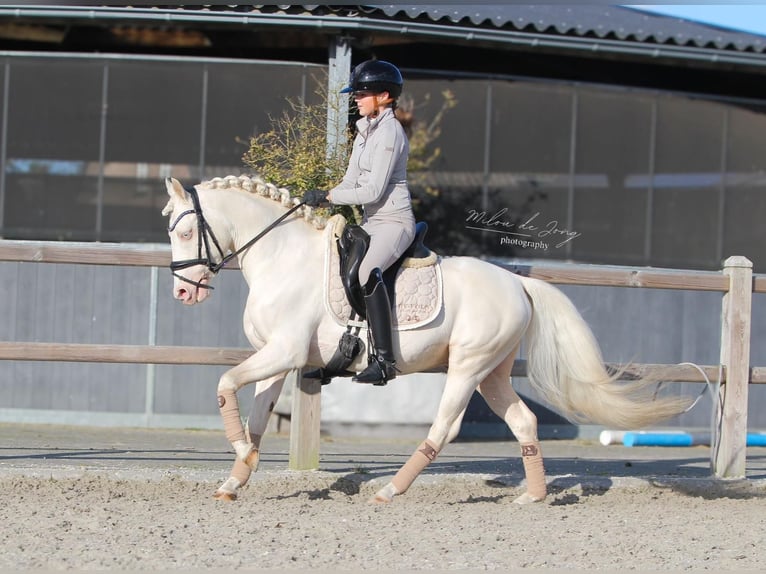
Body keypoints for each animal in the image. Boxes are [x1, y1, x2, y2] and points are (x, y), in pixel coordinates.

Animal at [162, 174, 691, 504]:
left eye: (185, 231)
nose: (183, 292)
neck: (283, 258)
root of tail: (517, 283)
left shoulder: (284, 352)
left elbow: (224, 385)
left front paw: (240, 458)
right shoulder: (276, 357)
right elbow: (252, 414)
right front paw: (236, 476)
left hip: (468, 366)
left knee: (444, 428)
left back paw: (390, 490)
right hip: (492, 372)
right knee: (522, 421)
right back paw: (533, 496)